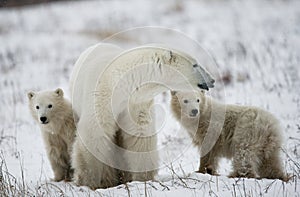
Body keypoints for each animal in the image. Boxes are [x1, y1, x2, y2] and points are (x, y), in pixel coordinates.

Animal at [69, 42, 214, 189]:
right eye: (195, 65)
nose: (212, 80)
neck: (123, 82)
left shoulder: (136, 102)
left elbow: (139, 135)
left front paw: (142, 178)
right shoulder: (101, 96)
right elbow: (95, 133)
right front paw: (88, 180)